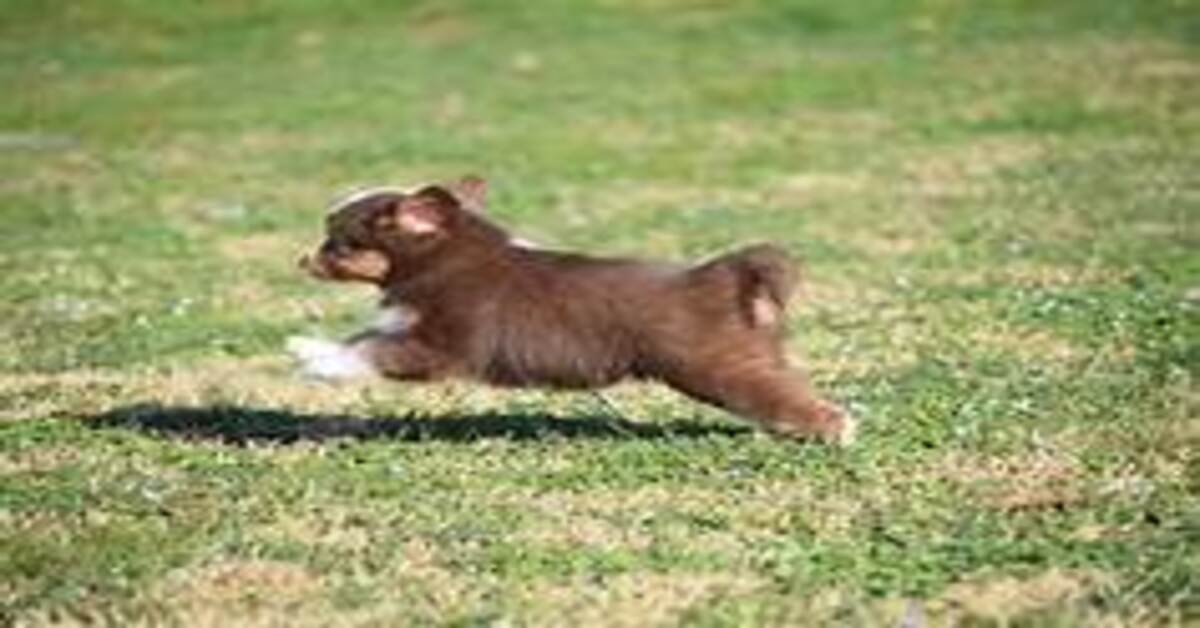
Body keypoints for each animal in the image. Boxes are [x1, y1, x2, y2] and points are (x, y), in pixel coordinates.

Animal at [288, 174, 854, 444]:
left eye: (338, 244)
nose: (301, 259)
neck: (449, 253)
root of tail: (719, 276)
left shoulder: (442, 345)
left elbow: (374, 350)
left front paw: (317, 360)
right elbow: (365, 337)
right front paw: (308, 348)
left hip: (716, 367)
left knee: (793, 401)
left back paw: (835, 431)